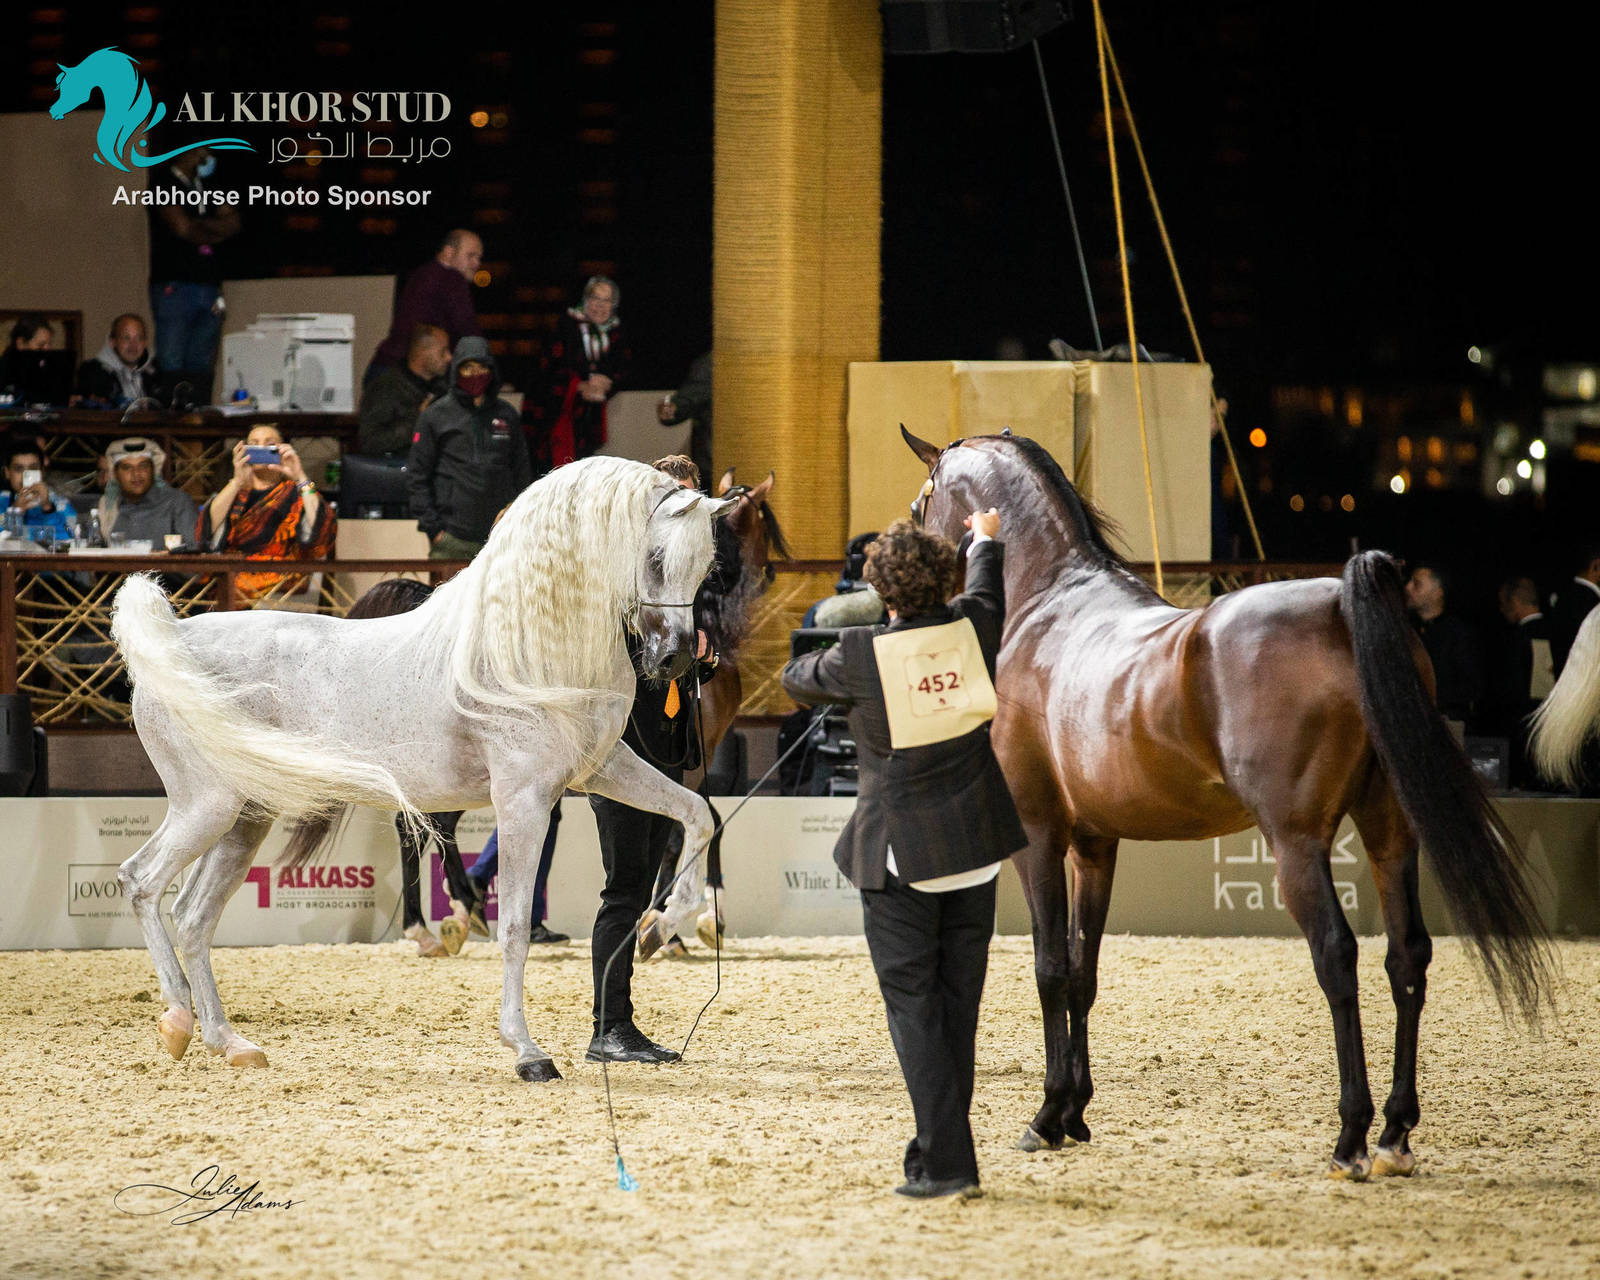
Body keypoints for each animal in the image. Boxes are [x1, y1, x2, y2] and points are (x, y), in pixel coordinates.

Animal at [111, 456, 735, 1081]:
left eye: (706, 566)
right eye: (655, 559)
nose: (676, 659)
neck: (523, 650)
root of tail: (173, 640)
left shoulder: (602, 769)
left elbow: (697, 816)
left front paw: (662, 926)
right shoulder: (524, 800)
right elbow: (513, 925)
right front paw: (527, 1051)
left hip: (246, 818)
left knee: (193, 916)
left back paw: (229, 1042)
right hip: (207, 807)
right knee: (141, 883)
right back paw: (177, 1020)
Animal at [900, 427, 1553, 1179]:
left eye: (920, 506)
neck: (1049, 606)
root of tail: (1338, 606)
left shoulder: (1040, 834)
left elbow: (1050, 970)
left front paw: (1046, 1116)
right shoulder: (1095, 843)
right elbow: (1084, 971)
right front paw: (1076, 1115)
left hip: (1296, 844)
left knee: (1337, 956)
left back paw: (1351, 1139)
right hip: (1391, 835)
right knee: (1406, 957)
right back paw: (1395, 1132)